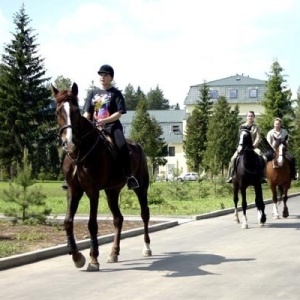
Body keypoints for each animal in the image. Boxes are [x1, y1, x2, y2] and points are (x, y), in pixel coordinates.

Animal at [51, 82, 152, 272]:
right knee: (118, 219)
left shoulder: (93, 191)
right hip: (112, 191)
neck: (80, 152)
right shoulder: (74, 190)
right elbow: (68, 221)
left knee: (144, 214)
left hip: (141, 188)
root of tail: (137, 145)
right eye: (58, 112)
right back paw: (114, 253)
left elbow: (92, 224)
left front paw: (93, 259)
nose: (69, 143)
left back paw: (147, 248)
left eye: (75, 111)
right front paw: (77, 257)